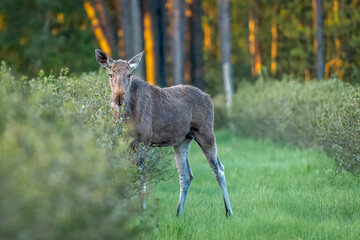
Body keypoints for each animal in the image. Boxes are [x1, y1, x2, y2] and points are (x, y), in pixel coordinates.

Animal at [94, 49, 233, 218]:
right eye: (110, 74)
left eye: (129, 75)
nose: (118, 97)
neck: (123, 116)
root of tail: (209, 97)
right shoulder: (123, 144)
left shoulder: (143, 142)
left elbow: (141, 178)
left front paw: (143, 211)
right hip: (182, 141)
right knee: (186, 175)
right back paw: (178, 213)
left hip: (205, 133)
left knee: (218, 169)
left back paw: (229, 211)